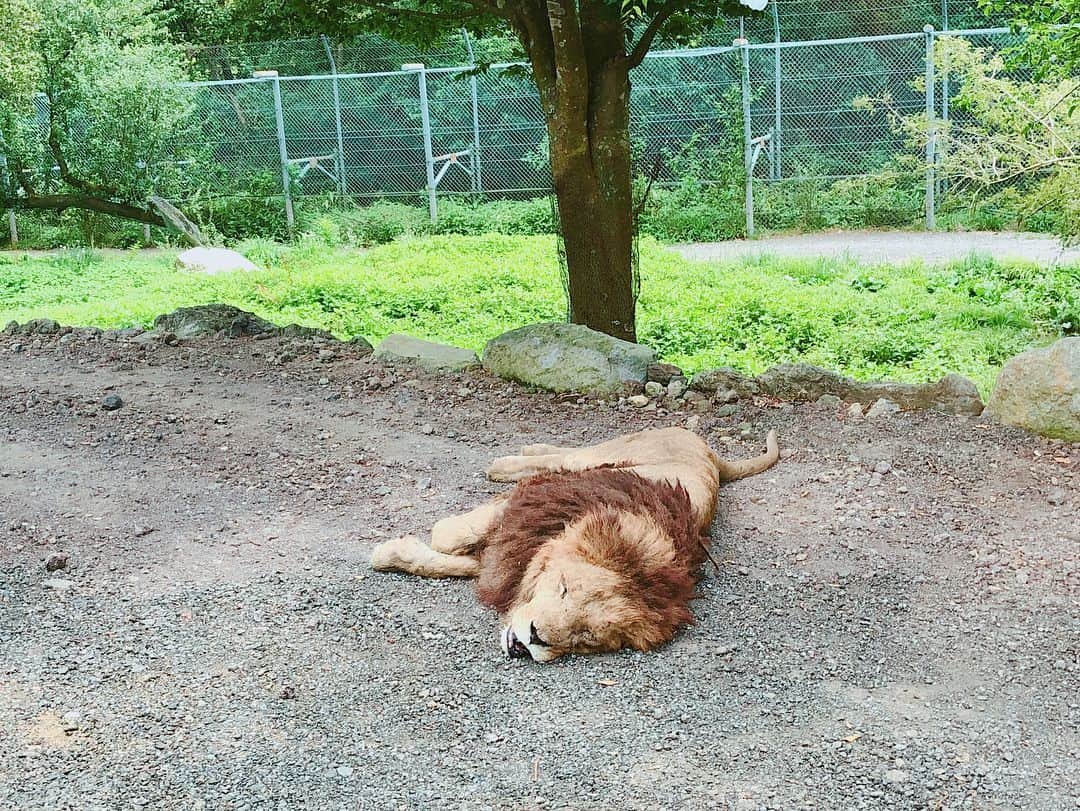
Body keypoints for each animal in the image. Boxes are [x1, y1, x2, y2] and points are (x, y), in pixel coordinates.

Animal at [371, 427, 777, 660]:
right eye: (564, 588)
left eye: (585, 637)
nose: (533, 638)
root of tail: (709, 450)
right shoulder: (528, 509)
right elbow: (446, 535)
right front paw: (386, 552)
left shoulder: (511, 554)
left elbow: (452, 560)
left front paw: (395, 552)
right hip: (600, 455)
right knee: (565, 454)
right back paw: (509, 460)